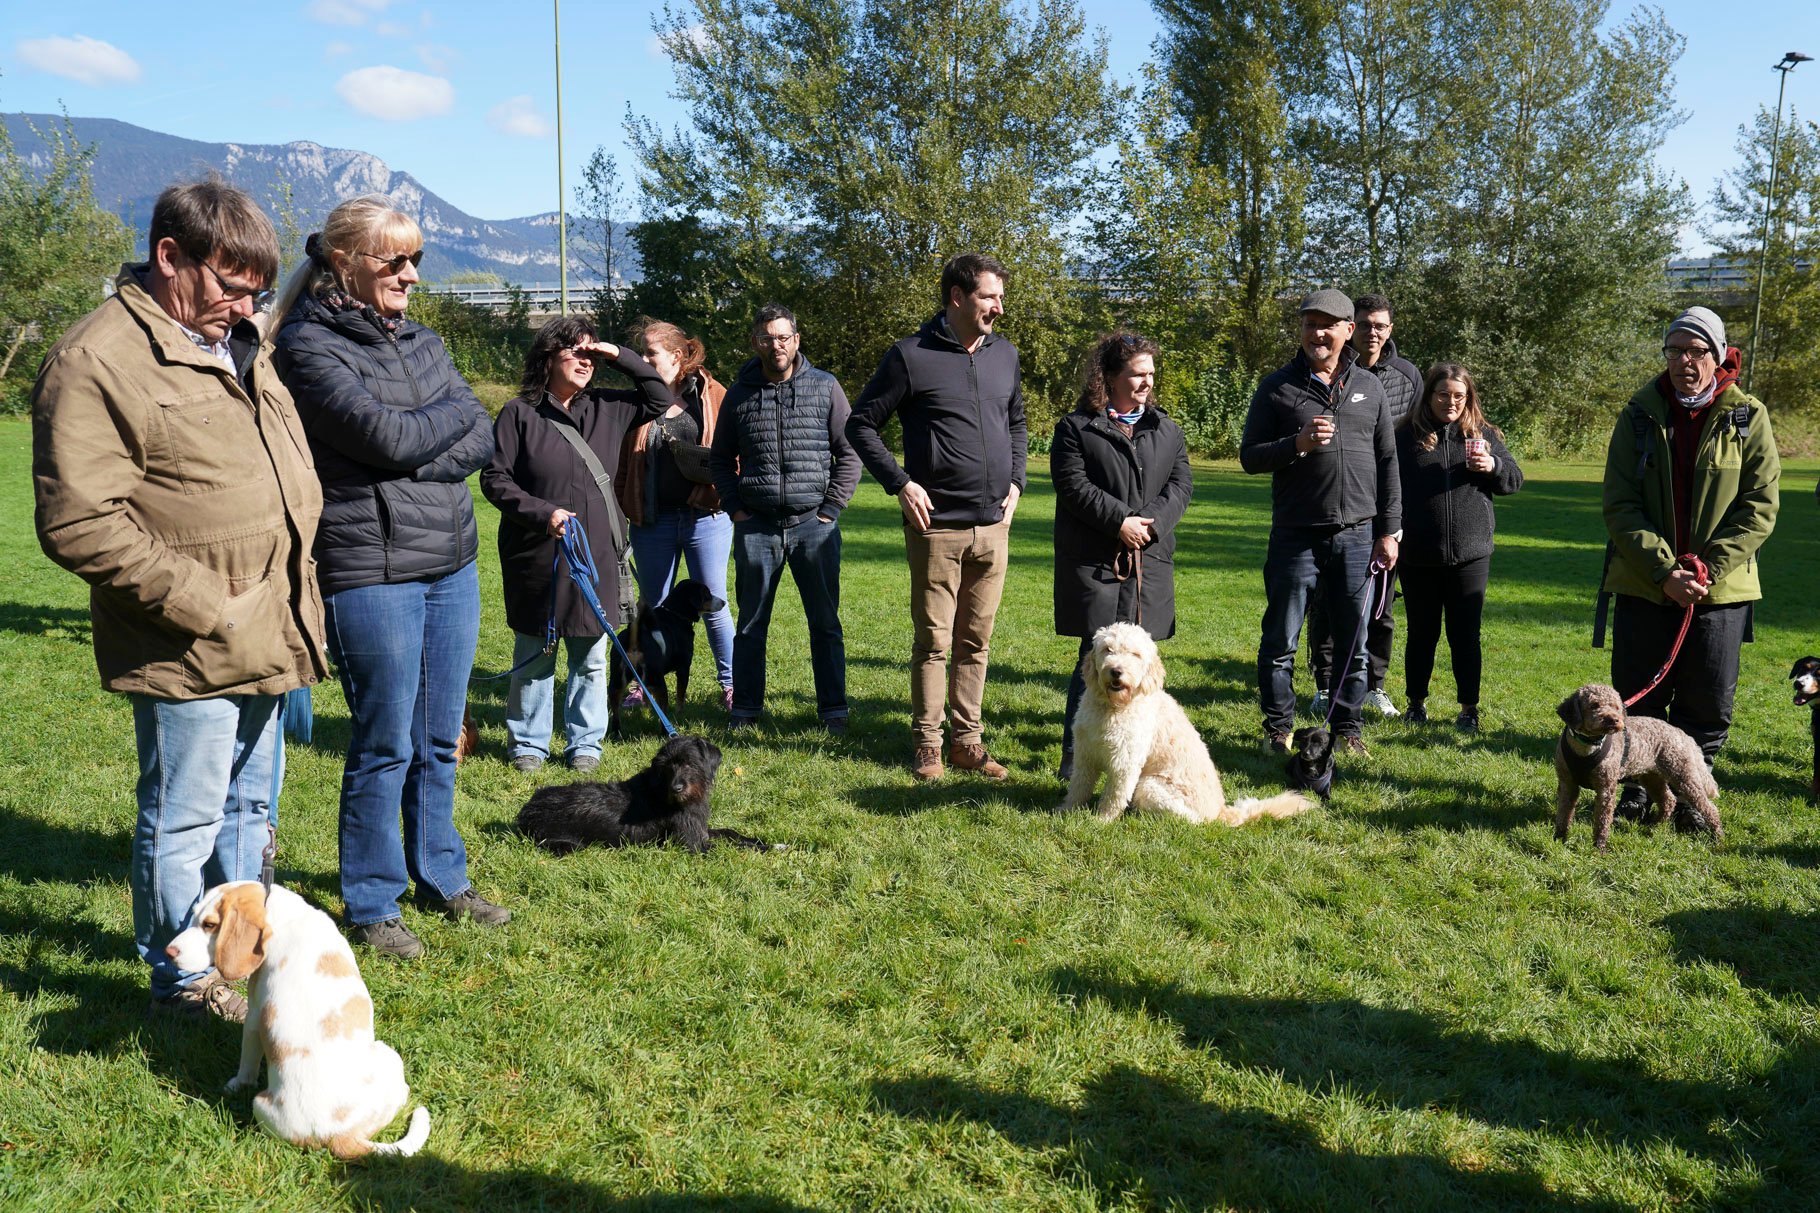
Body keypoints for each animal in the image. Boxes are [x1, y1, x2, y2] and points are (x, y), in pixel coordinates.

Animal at [165, 882, 430, 1159]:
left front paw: (235, 1085)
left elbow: (247, 1062)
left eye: (209, 924)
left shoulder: (254, 1015)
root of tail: (339, 1136)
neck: (283, 916)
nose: (168, 952)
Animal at [517, 733, 771, 854]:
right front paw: (769, 848)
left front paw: (761, 840)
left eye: (690, 763)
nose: (676, 789)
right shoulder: (691, 844)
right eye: (667, 766)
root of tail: (527, 811)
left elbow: (731, 833)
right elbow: (732, 847)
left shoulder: (701, 831)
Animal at [608, 579, 727, 737]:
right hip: (658, 682)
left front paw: (646, 709)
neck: (675, 614)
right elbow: (680, 694)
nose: (724, 602)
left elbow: (647, 698)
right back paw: (666, 732)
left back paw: (617, 733)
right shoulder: (683, 668)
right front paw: (680, 714)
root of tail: (635, 639)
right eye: (706, 594)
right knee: (662, 712)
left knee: (615, 712)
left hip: (616, 682)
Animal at [1059, 623, 1313, 825]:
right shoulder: (1085, 754)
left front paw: (1102, 820)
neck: (1112, 708)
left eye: (1135, 654)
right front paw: (1066, 810)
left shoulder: (1125, 763)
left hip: (1149, 786)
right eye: (1107, 650)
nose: (1116, 671)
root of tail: (1220, 811)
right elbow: (1078, 785)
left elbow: (1114, 795)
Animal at [1553, 683, 1721, 849]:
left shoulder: (1606, 789)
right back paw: (1656, 825)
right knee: (1668, 800)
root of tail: (1682, 734)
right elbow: (1563, 814)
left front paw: (1599, 847)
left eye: (1616, 707)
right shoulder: (1567, 784)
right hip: (1652, 777)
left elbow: (1602, 821)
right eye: (1594, 705)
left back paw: (1718, 838)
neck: (1586, 747)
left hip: (1683, 775)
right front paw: (1559, 840)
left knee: (1709, 808)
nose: (1614, 720)